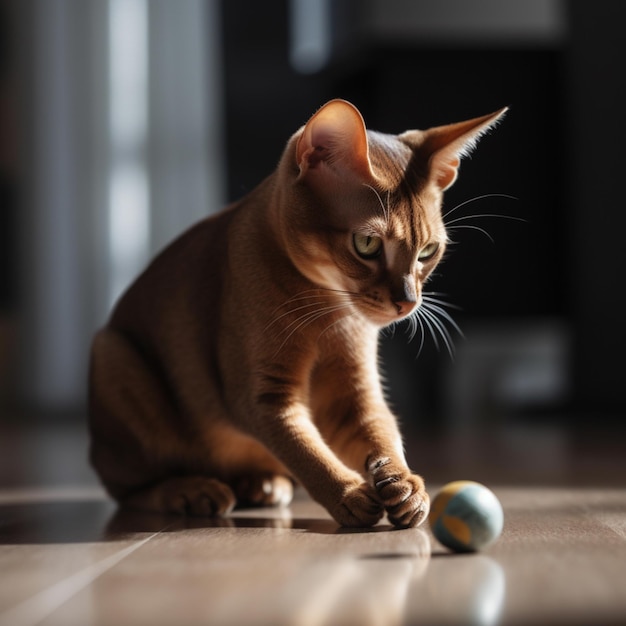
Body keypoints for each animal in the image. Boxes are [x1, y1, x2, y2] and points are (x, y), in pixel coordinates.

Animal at [89, 98, 508, 528]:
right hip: (114, 357)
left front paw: (405, 484)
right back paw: (192, 490)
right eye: (367, 243)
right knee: (127, 488)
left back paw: (263, 483)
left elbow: (382, 431)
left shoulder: (354, 394)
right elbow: (305, 450)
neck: (327, 312)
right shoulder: (263, 396)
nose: (408, 301)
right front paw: (348, 494)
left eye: (428, 251)